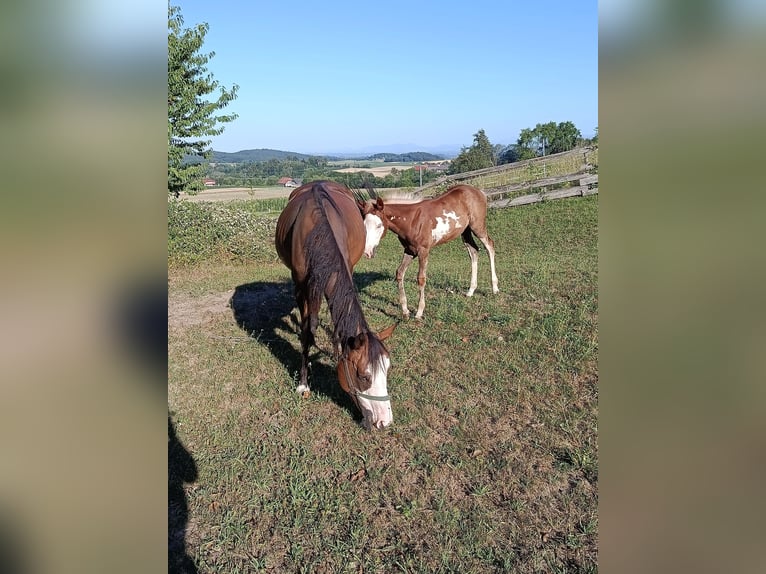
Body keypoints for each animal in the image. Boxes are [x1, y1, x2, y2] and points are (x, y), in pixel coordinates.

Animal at [275, 180, 396, 429]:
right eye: (364, 377)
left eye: (387, 371)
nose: (384, 422)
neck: (319, 233)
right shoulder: (302, 284)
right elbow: (308, 329)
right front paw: (303, 382)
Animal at [357, 184, 499, 320]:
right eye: (363, 225)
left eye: (379, 225)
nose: (367, 252)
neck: (412, 220)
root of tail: (479, 191)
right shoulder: (409, 250)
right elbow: (399, 273)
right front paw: (405, 312)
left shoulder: (423, 250)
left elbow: (421, 278)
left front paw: (419, 313)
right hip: (465, 231)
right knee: (474, 251)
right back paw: (470, 291)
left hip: (477, 226)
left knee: (490, 247)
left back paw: (495, 288)